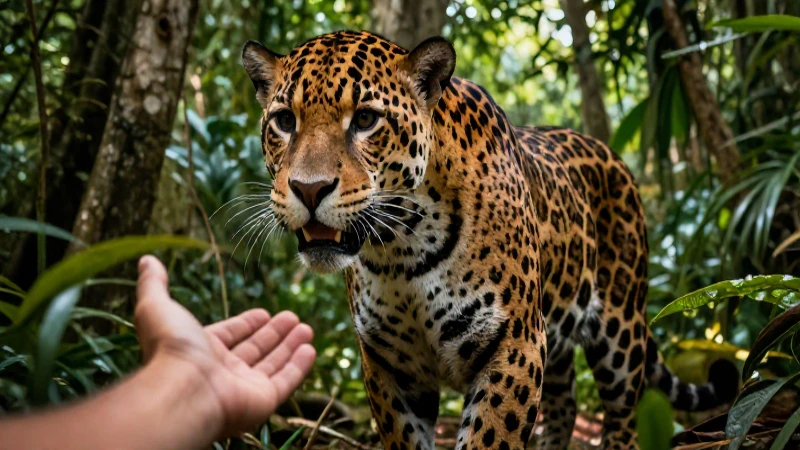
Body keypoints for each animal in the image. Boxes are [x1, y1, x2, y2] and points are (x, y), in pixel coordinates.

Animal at [241, 30, 737, 450]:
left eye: (365, 119)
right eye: (284, 121)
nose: (308, 189)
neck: (401, 248)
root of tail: (609, 153)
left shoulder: (514, 344)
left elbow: (491, 436)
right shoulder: (388, 364)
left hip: (620, 328)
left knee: (623, 415)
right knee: (565, 403)